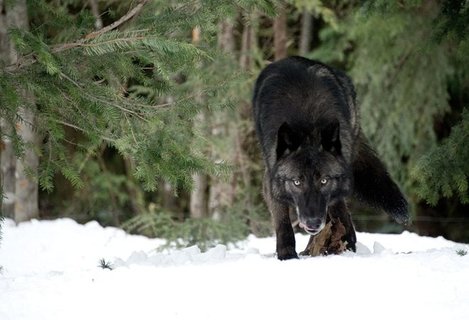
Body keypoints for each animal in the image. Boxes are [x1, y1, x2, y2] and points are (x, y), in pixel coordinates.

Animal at [250, 55, 408, 260]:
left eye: (324, 180)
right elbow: (282, 222)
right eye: (296, 182)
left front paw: (346, 243)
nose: (312, 223)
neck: (308, 125)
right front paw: (287, 255)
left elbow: (337, 210)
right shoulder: (271, 180)